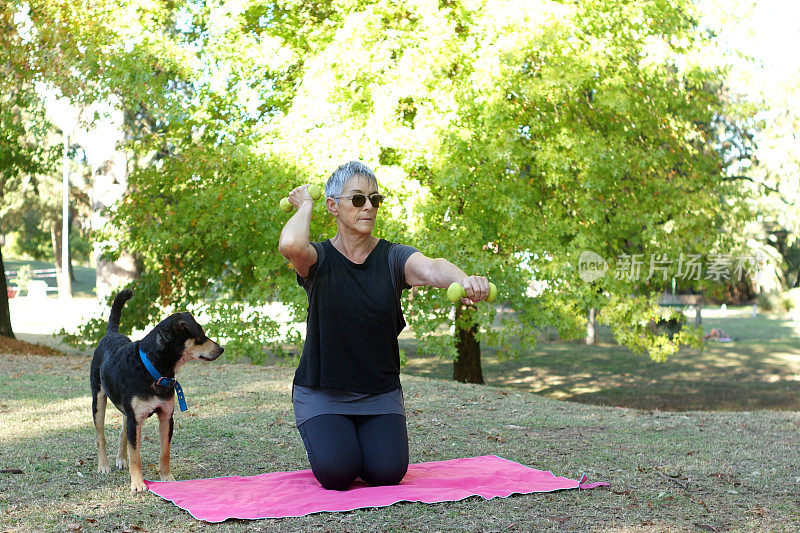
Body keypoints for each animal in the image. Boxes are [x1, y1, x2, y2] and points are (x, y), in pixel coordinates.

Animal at [90, 288, 222, 492]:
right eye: (200, 334)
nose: (221, 349)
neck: (152, 368)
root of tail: (111, 334)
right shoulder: (135, 420)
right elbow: (136, 455)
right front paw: (137, 484)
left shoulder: (166, 417)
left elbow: (164, 452)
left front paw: (167, 477)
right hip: (98, 400)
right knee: (100, 436)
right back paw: (103, 465)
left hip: (126, 410)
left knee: (122, 431)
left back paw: (121, 459)